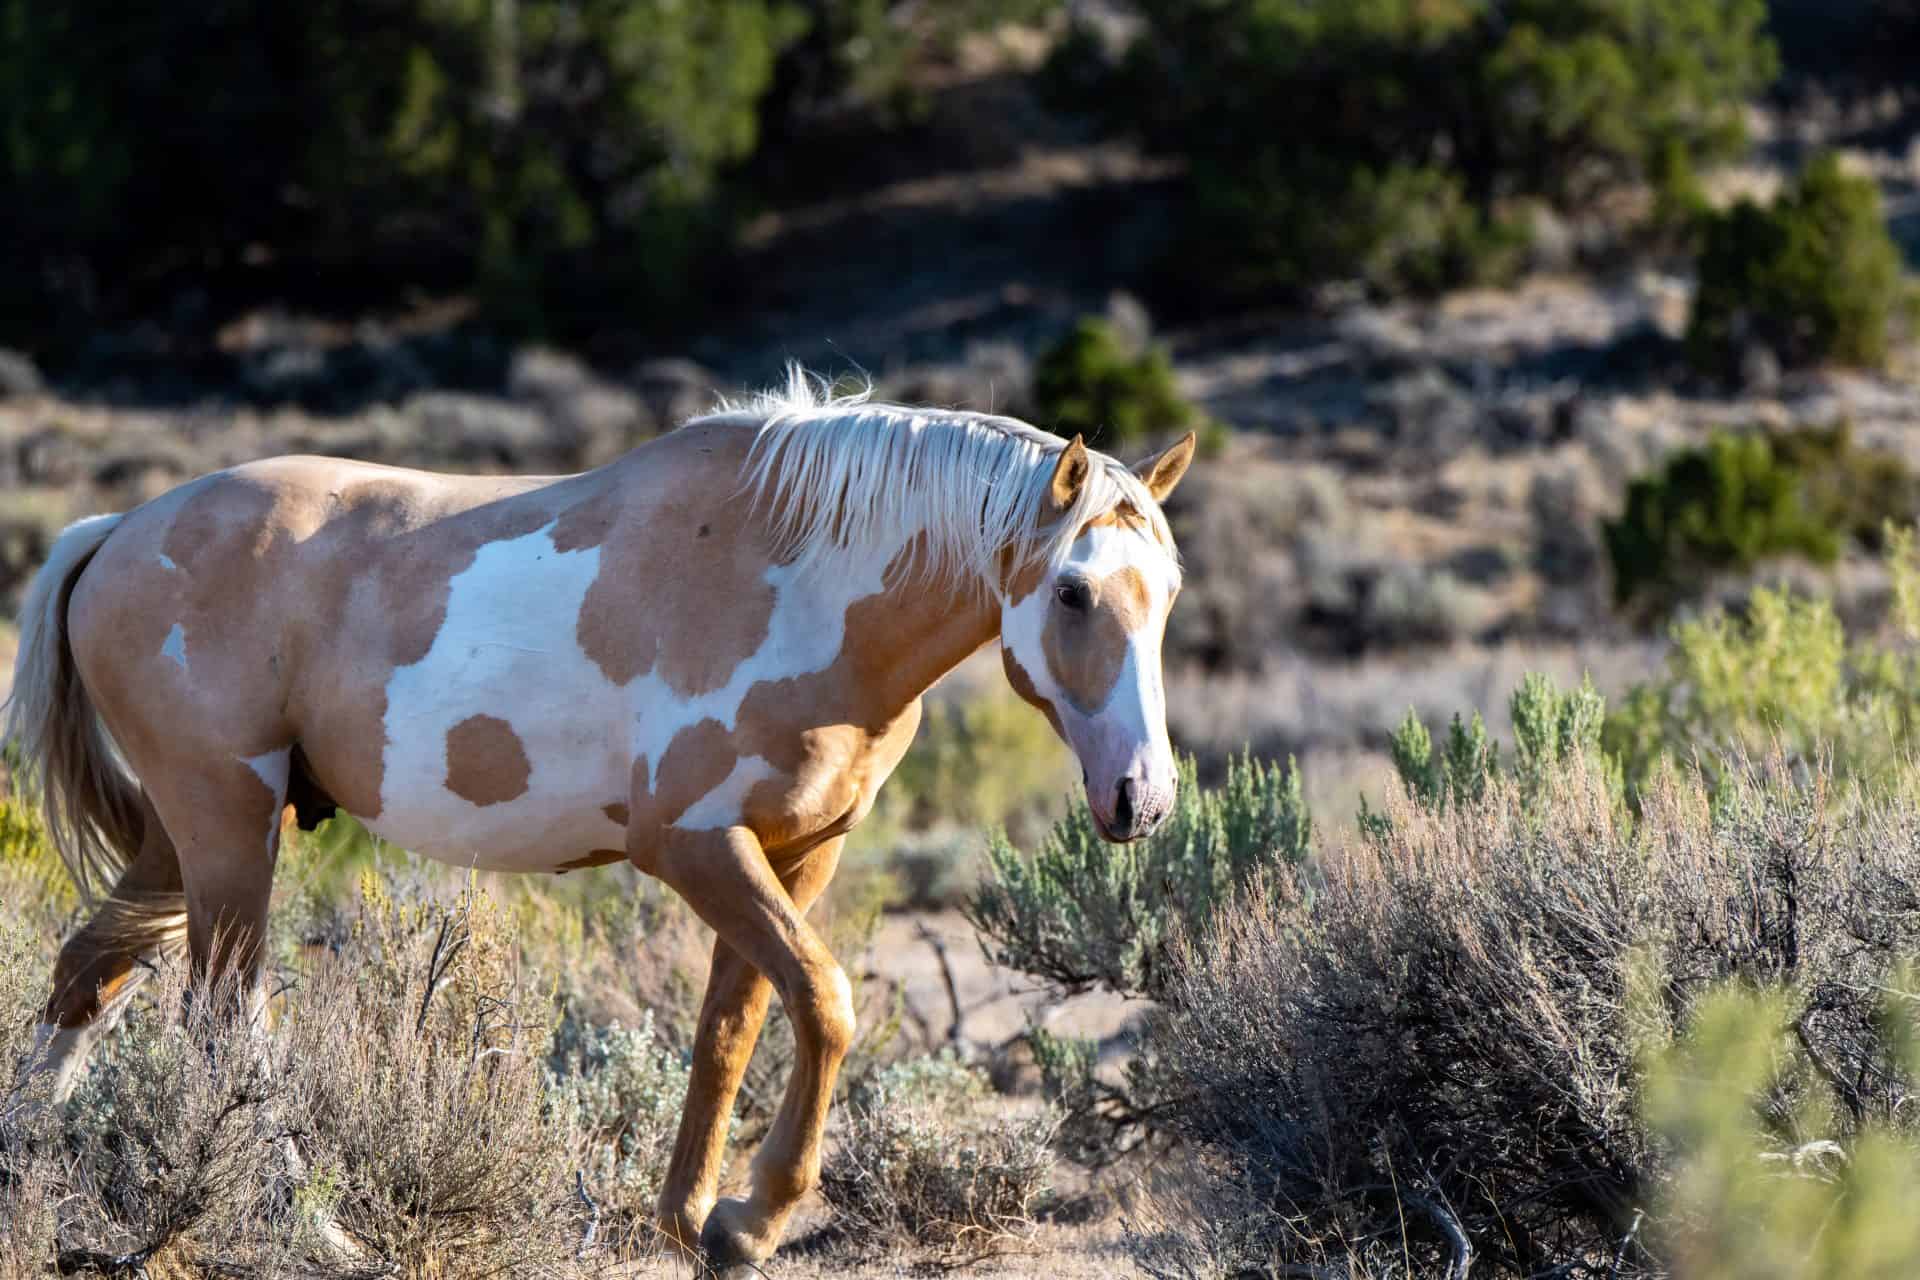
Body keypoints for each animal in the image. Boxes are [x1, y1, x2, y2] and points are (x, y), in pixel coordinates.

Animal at [7, 372, 1190, 1274]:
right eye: (1075, 591)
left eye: (1168, 590)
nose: (1142, 798)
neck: (800, 578)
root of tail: (117, 532)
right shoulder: (694, 846)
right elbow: (828, 999)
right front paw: (757, 1214)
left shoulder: (800, 853)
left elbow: (736, 1025)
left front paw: (693, 1219)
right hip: (227, 827)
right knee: (223, 1026)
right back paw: (321, 1231)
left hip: (184, 837)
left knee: (88, 977)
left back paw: (31, 1174)